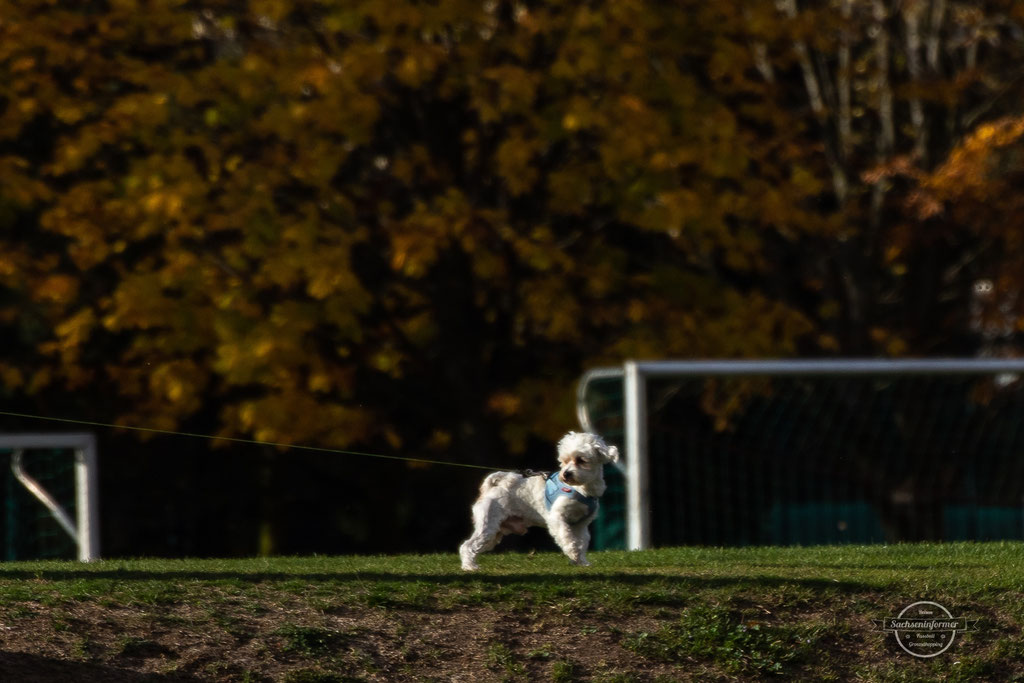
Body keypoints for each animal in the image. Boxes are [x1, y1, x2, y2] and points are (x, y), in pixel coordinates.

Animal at [460, 432, 618, 573]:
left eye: (581, 460)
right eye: (564, 461)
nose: (565, 474)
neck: (581, 489)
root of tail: (491, 488)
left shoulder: (581, 524)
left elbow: (582, 542)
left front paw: (581, 561)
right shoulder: (557, 518)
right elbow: (567, 537)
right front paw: (572, 552)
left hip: (494, 533)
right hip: (488, 525)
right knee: (467, 546)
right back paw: (469, 566)